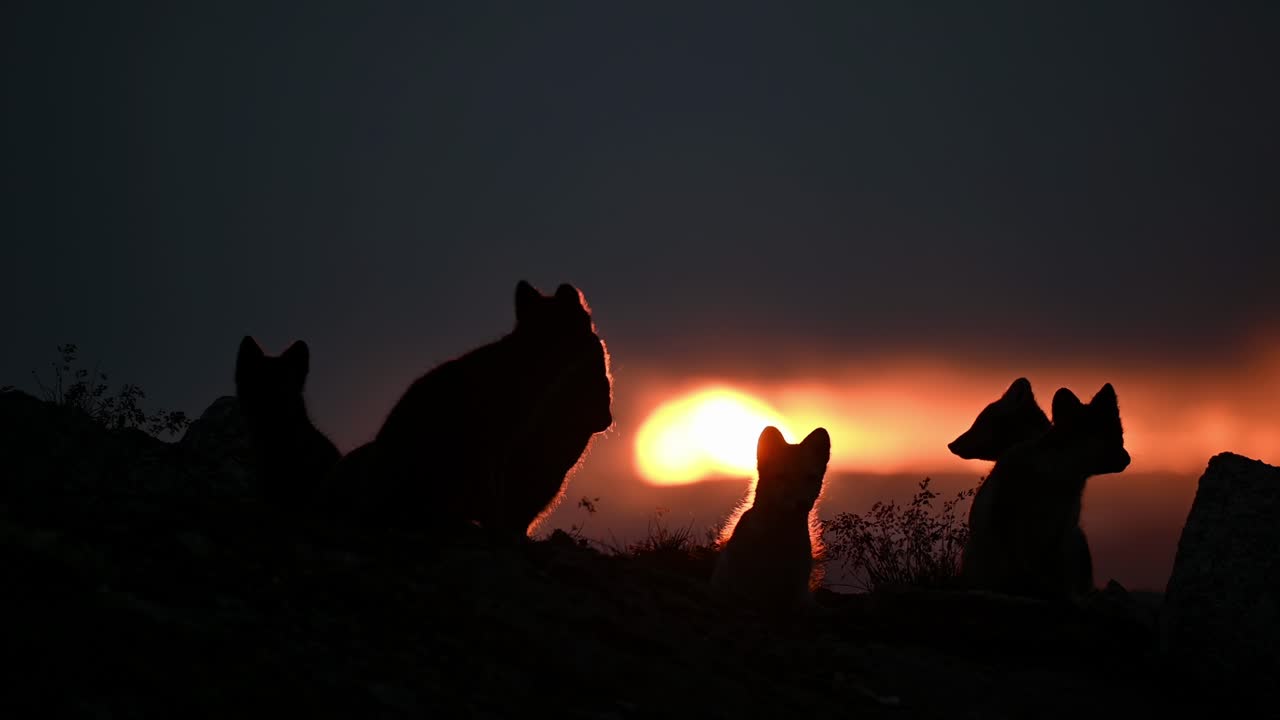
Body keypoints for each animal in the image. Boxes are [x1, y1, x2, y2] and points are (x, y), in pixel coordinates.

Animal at [711, 426, 831, 613]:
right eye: (781, 476)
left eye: (811, 477)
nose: (802, 504)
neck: (778, 537)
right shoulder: (749, 591)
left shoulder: (799, 594)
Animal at [959, 383, 1130, 600]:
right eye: (1108, 438)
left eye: (1120, 436)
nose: (1128, 459)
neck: (1055, 473)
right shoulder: (1014, 525)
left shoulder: (1062, 529)